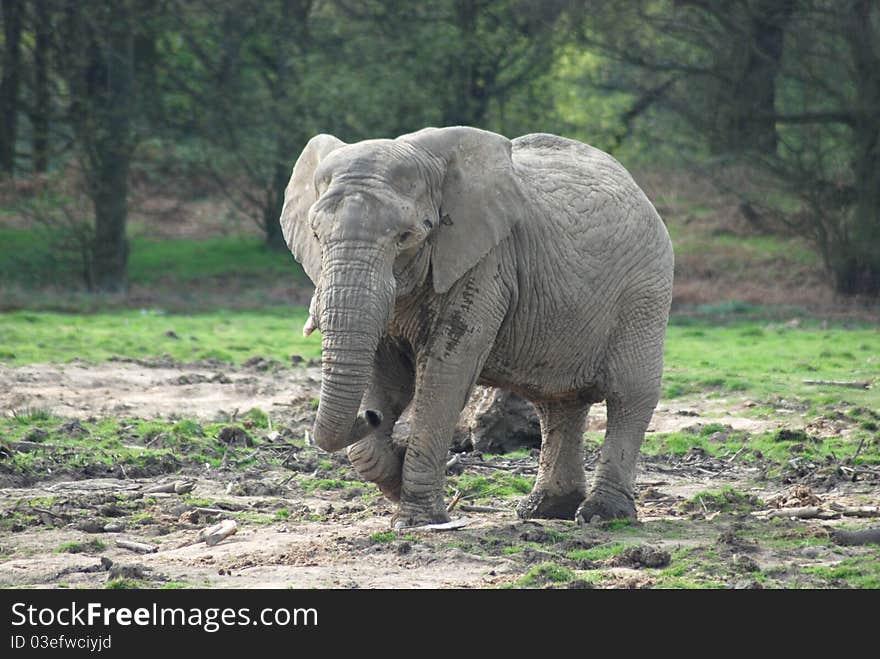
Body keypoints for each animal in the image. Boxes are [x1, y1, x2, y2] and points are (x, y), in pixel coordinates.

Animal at [282, 127, 672, 532]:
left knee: (629, 396)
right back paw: (545, 511)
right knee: (557, 403)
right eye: (315, 235)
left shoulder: (486, 263)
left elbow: (444, 377)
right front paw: (394, 469)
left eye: (407, 236)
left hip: (646, 292)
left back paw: (601, 516)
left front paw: (417, 521)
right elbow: (385, 375)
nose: (371, 417)